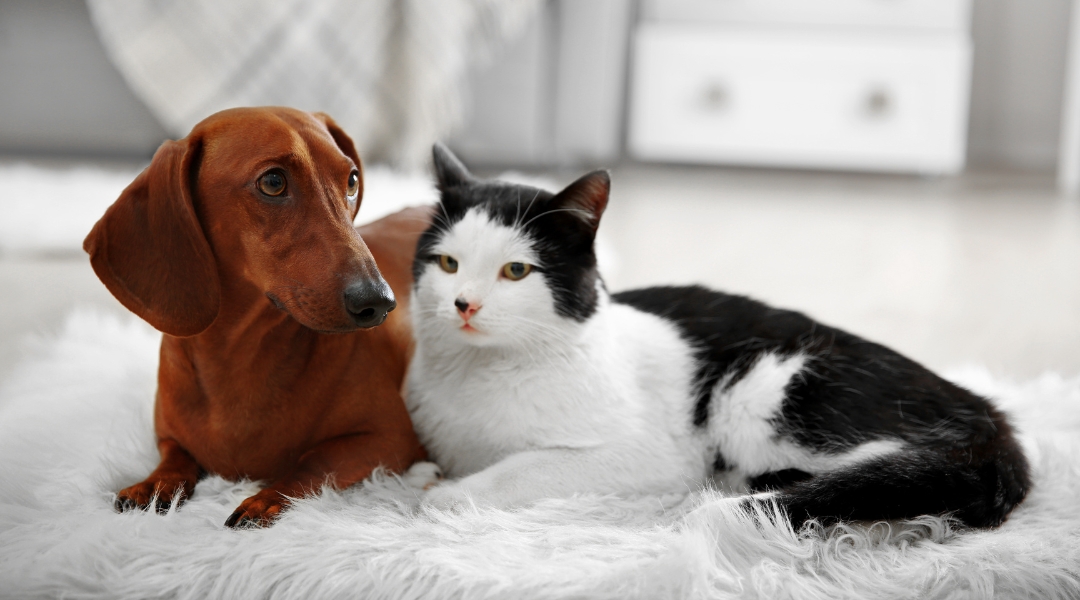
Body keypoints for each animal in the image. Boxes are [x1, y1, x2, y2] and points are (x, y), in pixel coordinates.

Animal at [85, 105, 429, 526]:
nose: (379, 302)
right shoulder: (168, 435)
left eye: (351, 180)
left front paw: (267, 497)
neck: (239, 356)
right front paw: (156, 482)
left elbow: (313, 460)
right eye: (273, 182)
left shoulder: (390, 437)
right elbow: (175, 454)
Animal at [406, 145, 1028, 528]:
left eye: (516, 271)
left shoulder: (647, 453)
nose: (464, 304)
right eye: (448, 263)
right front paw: (426, 473)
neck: (481, 372)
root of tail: (987, 411)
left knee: (898, 475)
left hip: (765, 389)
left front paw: (451, 495)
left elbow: (525, 467)